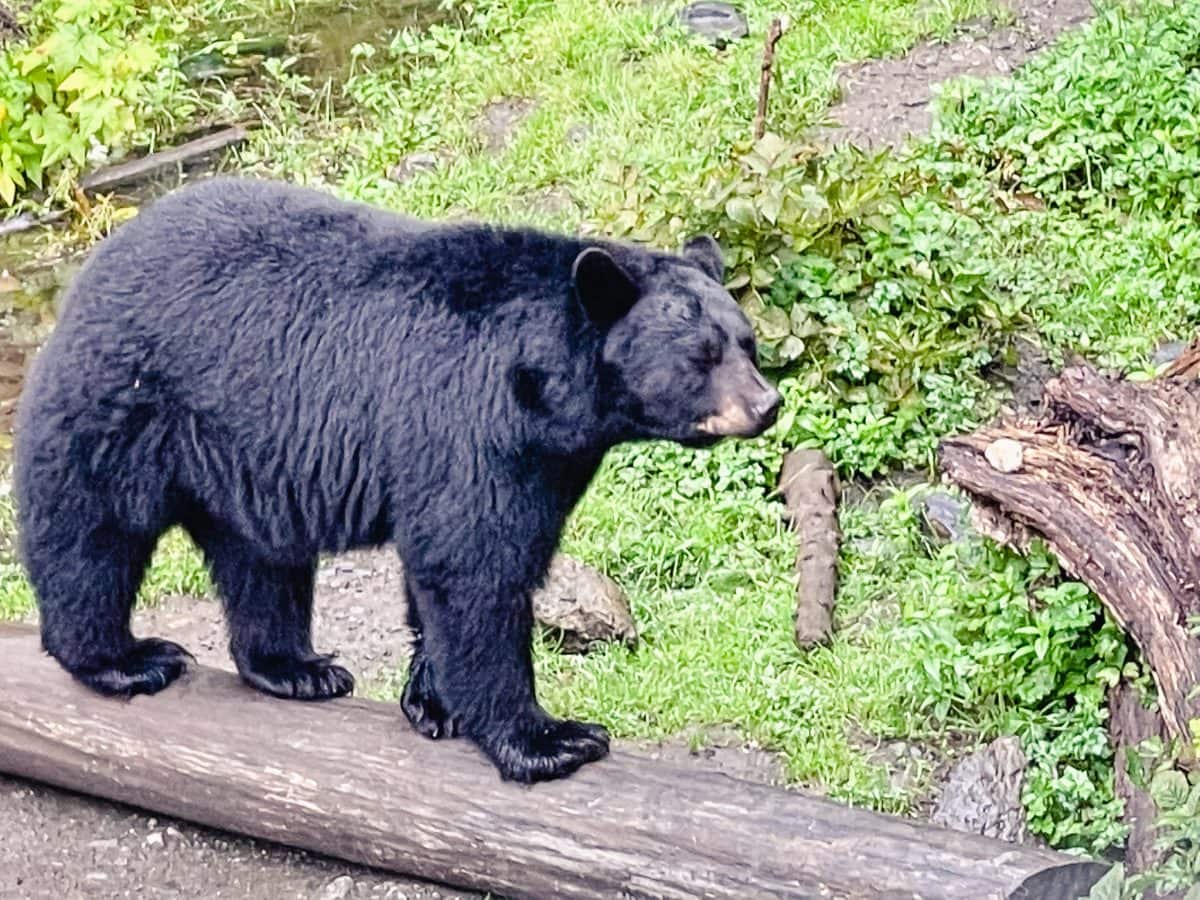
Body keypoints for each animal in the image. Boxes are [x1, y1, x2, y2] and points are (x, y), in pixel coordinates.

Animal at [18, 176, 782, 782]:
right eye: (701, 355)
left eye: (747, 343)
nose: (767, 405)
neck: (549, 395)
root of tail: (98, 261)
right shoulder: (474, 425)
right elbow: (476, 567)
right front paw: (549, 739)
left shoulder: (547, 460)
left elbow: (459, 566)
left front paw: (433, 702)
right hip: (128, 402)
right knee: (92, 530)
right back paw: (122, 658)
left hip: (242, 451)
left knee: (260, 560)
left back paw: (295, 667)